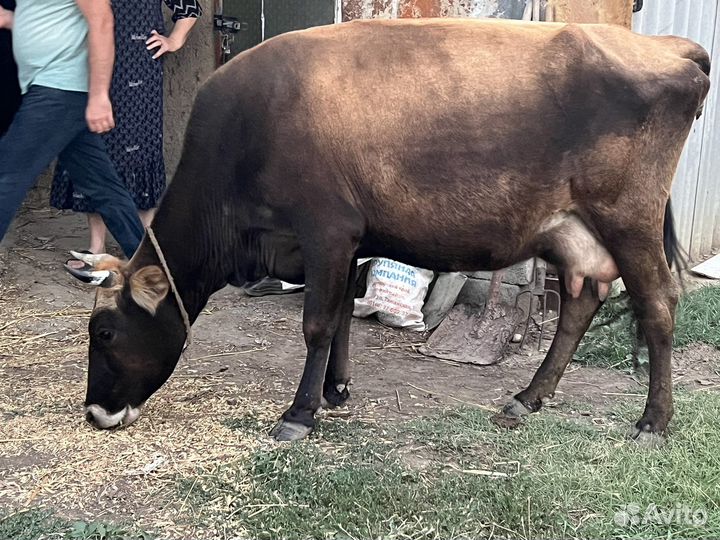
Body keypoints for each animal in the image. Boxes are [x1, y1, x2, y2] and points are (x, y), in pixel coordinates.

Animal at [66, 18, 710, 443]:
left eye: (104, 333)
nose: (95, 412)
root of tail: (667, 46)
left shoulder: (327, 229)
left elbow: (318, 323)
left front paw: (299, 415)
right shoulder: (350, 241)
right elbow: (344, 317)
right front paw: (336, 391)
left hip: (628, 218)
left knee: (657, 306)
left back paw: (653, 422)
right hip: (571, 229)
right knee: (580, 304)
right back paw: (527, 399)